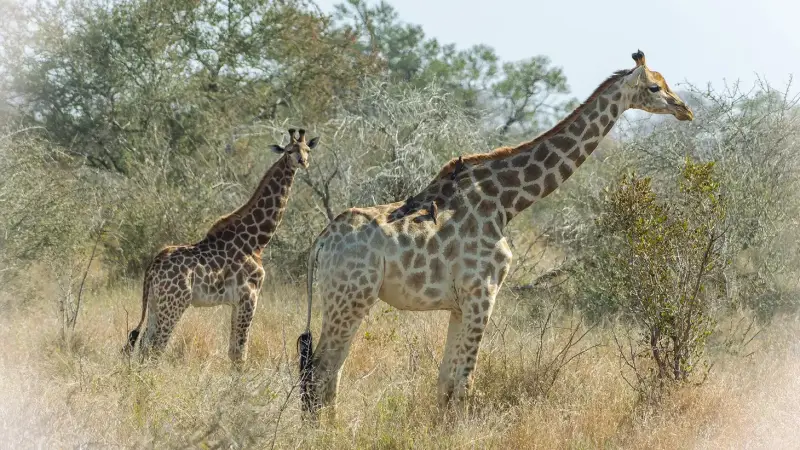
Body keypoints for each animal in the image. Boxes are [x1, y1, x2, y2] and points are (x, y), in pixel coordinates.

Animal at [123, 128, 320, 365]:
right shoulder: (249, 296)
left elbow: (233, 352)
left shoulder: (236, 302)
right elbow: (240, 354)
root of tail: (153, 267)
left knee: (144, 343)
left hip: (155, 303)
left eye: (307, 149)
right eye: (289, 150)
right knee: (155, 347)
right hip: (174, 304)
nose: (303, 162)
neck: (257, 241)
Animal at [296, 50, 694, 419]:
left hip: (343, 297)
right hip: (352, 296)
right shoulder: (483, 292)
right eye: (655, 87)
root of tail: (321, 243)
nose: (685, 110)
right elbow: (464, 381)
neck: (507, 201)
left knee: (321, 369)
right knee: (322, 369)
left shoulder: (461, 304)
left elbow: (446, 381)